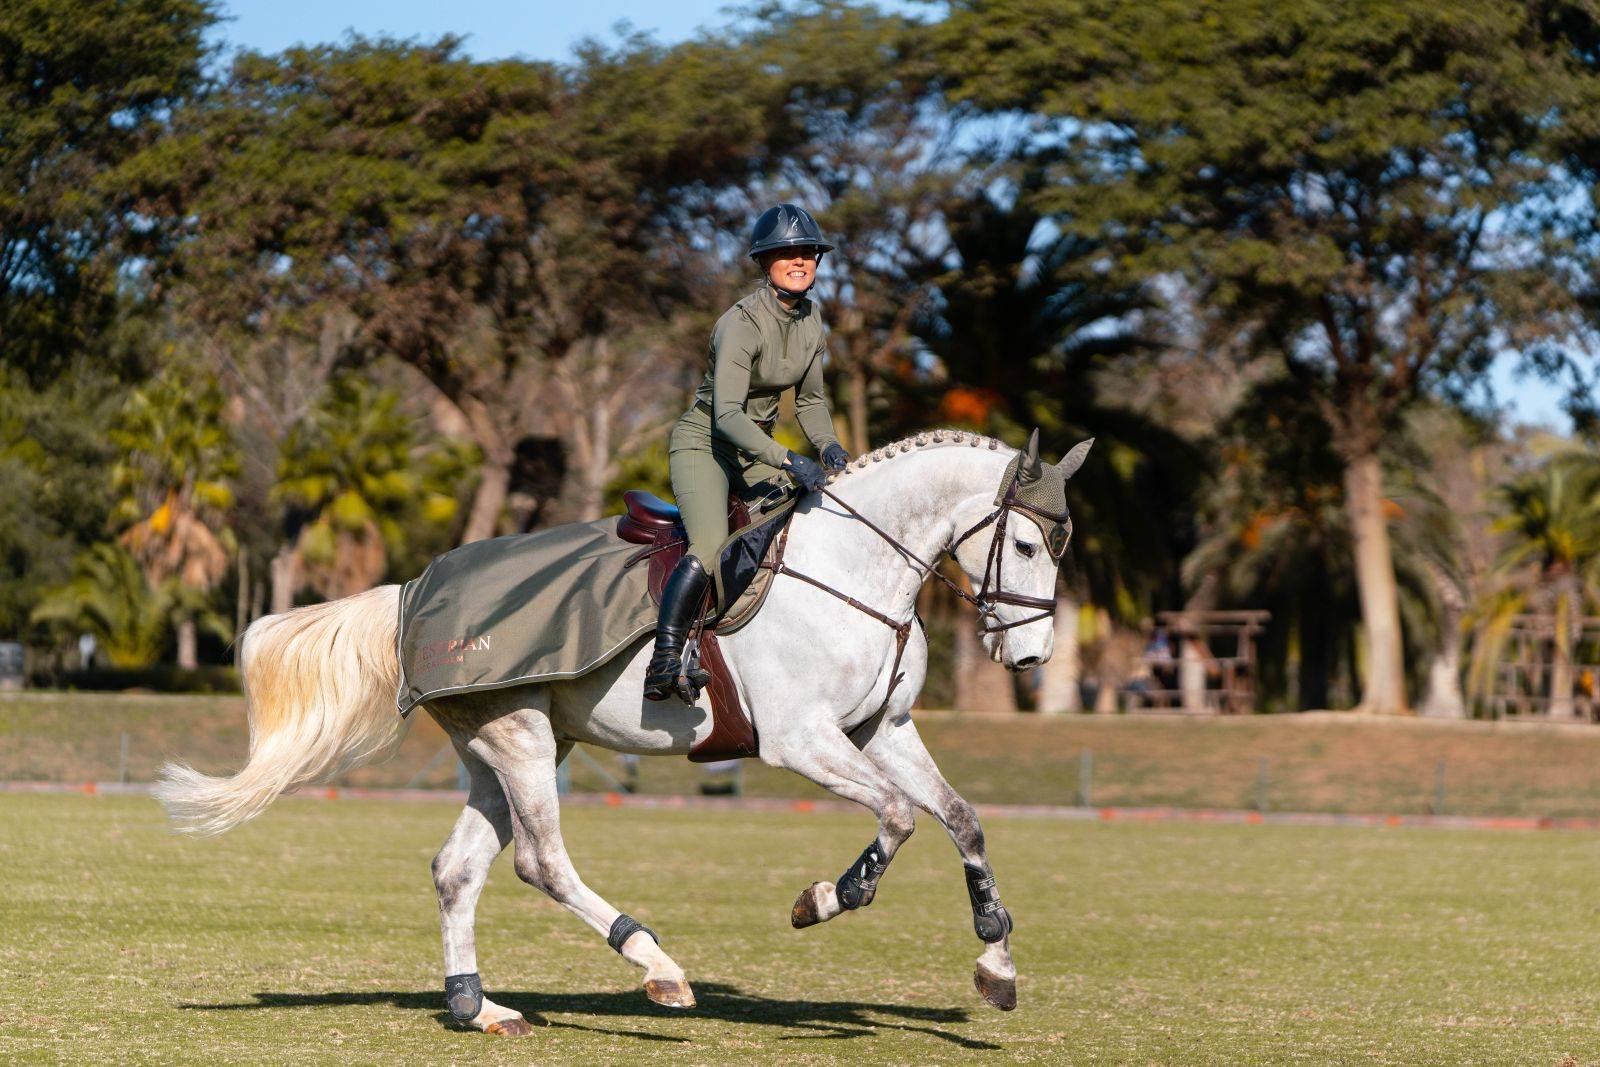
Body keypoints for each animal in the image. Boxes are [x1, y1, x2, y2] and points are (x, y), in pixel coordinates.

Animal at [156, 428, 1088, 1036]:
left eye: (1061, 546)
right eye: (1029, 544)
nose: (1031, 654)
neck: (854, 572)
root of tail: (414, 589)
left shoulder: (881, 730)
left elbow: (961, 817)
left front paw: (996, 964)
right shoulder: (804, 740)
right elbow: (895, 817)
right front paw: (825, 898)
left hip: (506, 750)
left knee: (458, 868)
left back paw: (476, 1004)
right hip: (524, 740)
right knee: (540, 862)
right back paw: (657, 967)